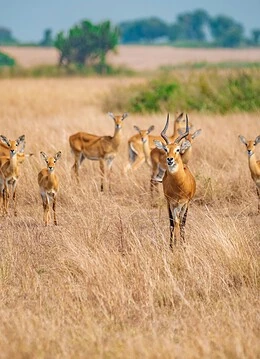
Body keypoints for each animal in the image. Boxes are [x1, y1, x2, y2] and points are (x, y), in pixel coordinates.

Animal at [154, 114, 195, 249]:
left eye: (177, 149)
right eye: (166, 149)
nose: (170, 159)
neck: (178, 185)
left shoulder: (184, 203)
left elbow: (181, 223)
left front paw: (183, 246)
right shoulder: (172, 202)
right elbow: (173, 223)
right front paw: (173, 246)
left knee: (181, 222)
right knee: (172, 223)